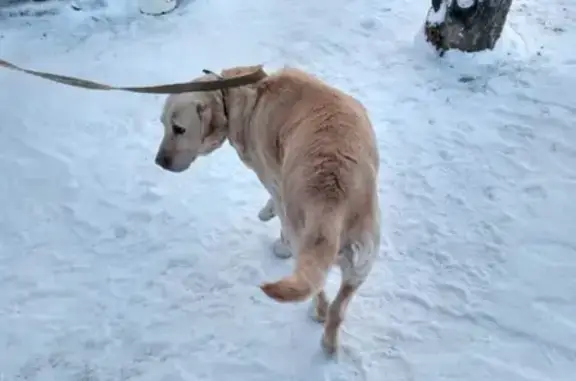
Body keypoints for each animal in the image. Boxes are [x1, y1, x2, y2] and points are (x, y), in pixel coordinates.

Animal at [154, 65, 378, 354]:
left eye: (179, 128)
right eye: (163, 124)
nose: (159, 161)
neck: (235, 95)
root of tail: (332, 201)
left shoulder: (272, 175)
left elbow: (275, 202)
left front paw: (269, 219)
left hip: (307, 241)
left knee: (316, 289)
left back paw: (315, 310)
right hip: (363, 260)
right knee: (337, 306)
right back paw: (329, 344)